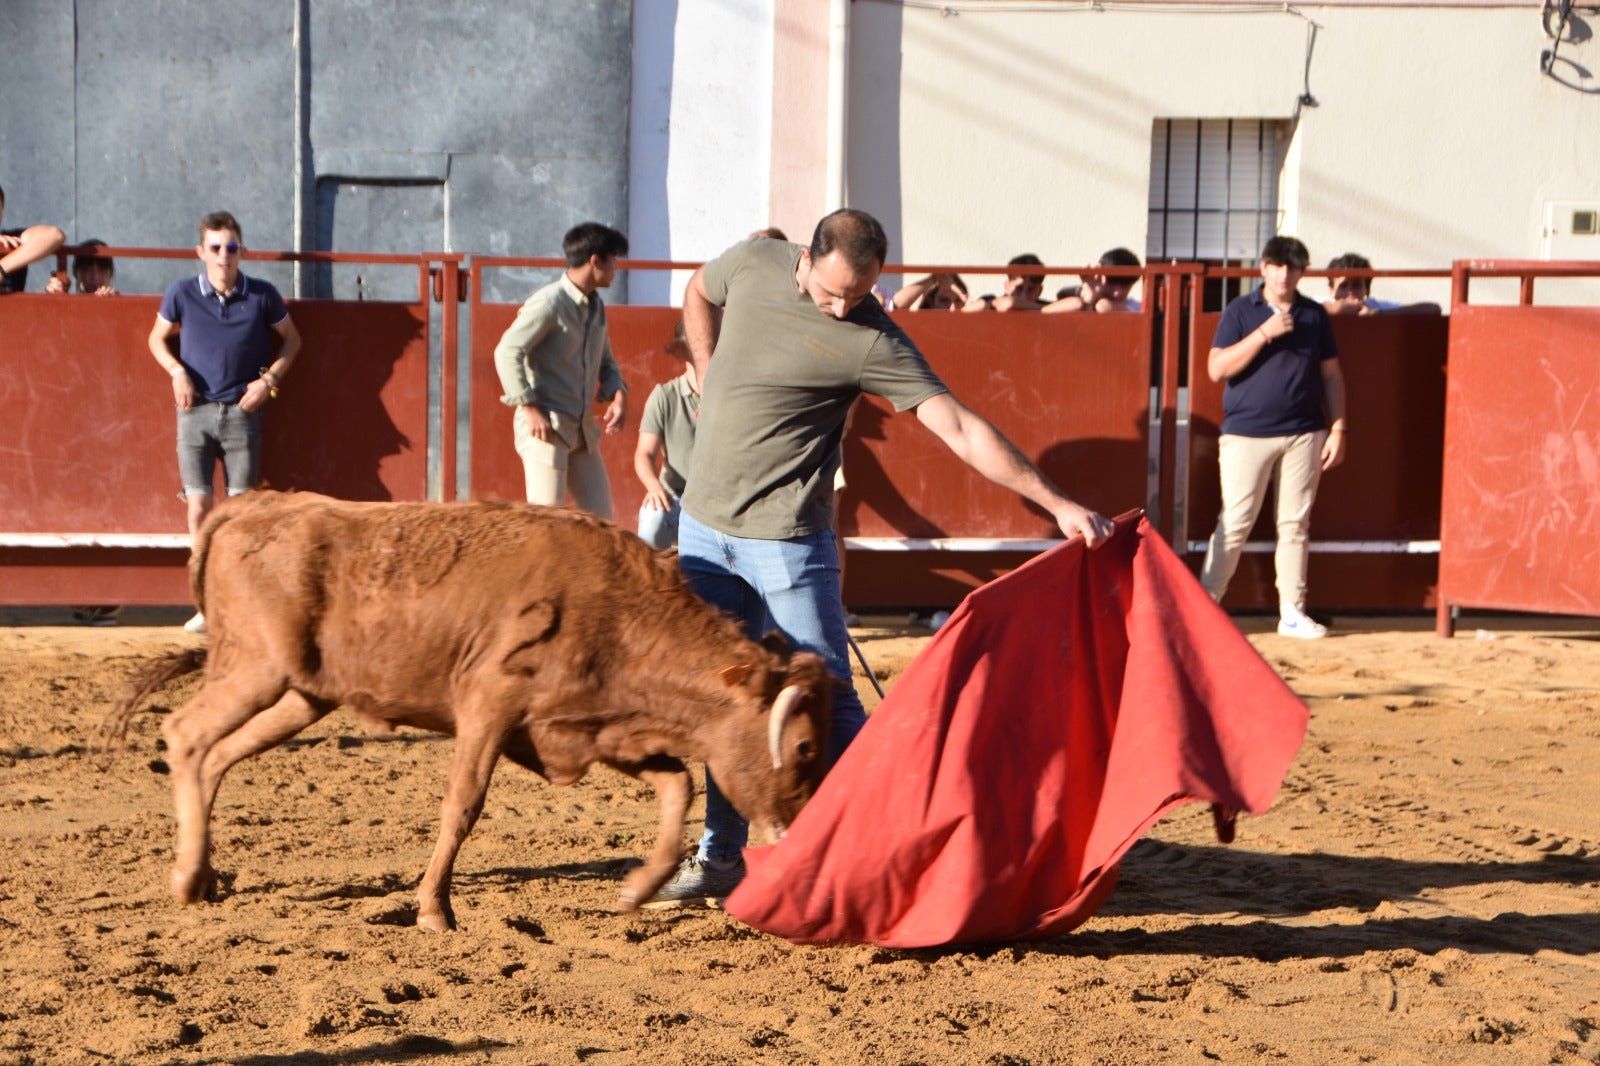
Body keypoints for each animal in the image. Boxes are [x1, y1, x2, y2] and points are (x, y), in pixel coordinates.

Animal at [108, 489, 838, 928]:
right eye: (804, 746)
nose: (800, 834)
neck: (618, 610)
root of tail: (254, 504)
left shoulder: (575, 730)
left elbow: (678, 784)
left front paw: (638, 888)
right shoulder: (491, 705)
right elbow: (463, 804)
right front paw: (434, 908)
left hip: (298, 695)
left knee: (217, 755)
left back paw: (203, 874)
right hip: (255, 670)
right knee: (186, 734)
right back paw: (185, 877)